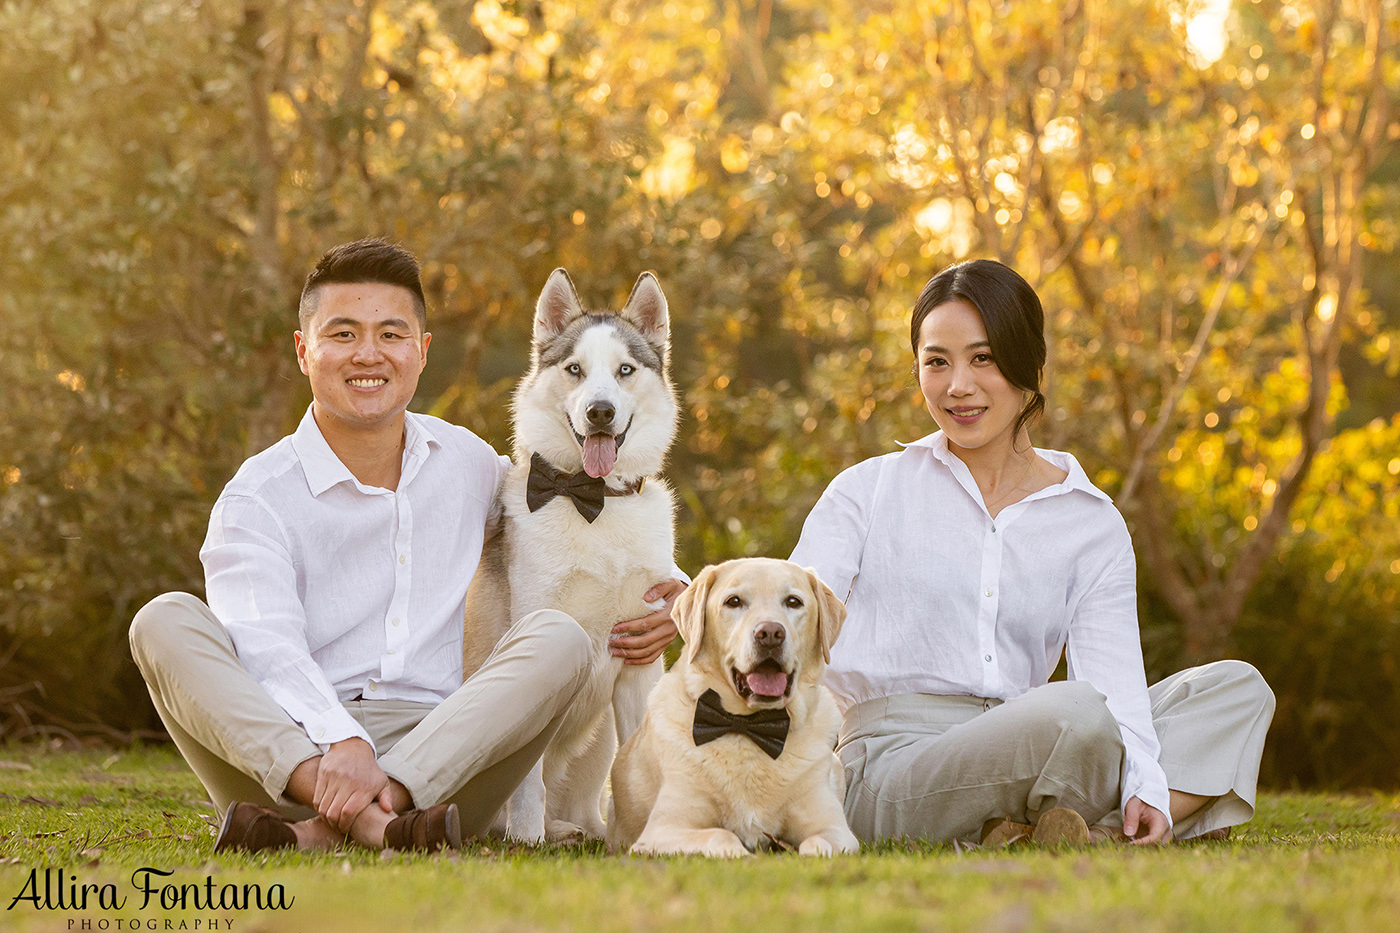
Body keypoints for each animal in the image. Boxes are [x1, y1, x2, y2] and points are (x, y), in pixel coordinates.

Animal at [464, 264, 677, 840]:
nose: (600, 412)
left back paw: (582, 831)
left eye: (625, 370)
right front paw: (526, 838)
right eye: (575, 370)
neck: (594, 502)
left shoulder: (640, 666)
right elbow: (528, 782)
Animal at [607, 554, 856, 851]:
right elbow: (721, 835)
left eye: (793, 602)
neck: (748, 726)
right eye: (734, 601)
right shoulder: (662, 830)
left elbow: (816, 846)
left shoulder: (836, 830)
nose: (770, 633)